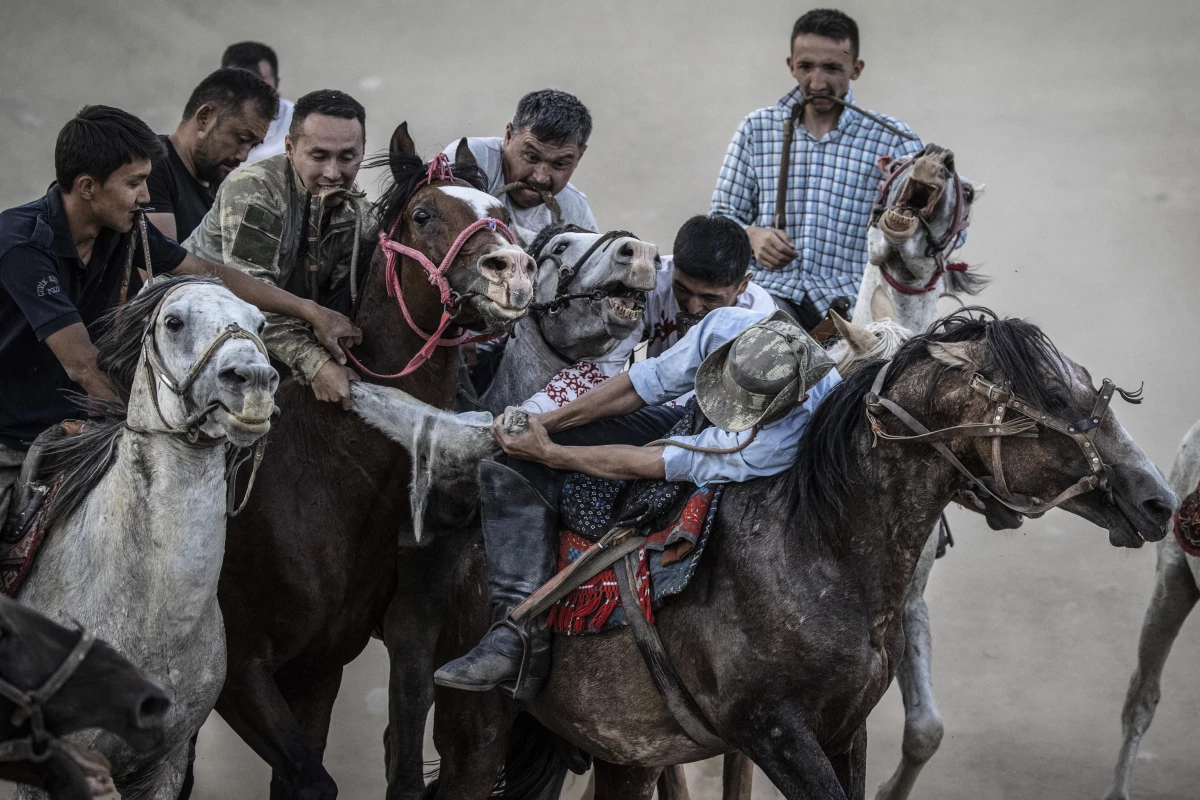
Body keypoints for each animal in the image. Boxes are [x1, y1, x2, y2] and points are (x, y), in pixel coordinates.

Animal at [420, 311, 1171, 800]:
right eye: (1054, 396)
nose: (1158, 500)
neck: (819, 546)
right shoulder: (772, 732)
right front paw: (530, 438)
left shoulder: (843, 729)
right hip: (474, 735)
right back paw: (493, 650)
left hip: (623, 753)